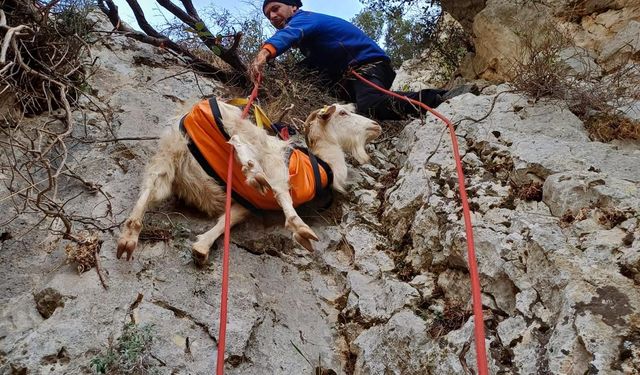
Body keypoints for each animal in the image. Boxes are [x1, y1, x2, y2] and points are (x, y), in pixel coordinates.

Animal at [116, 98, 380, 266]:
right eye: (343, 113)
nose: (375, 125)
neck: (322, 164)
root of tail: (192, 110)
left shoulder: (245, 203)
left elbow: (229, 218)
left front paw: (202, 247)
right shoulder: (278, 168)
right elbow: (281, 192)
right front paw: (300, 229)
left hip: (171, 153)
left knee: (151, 186)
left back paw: (129, 235)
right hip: (240, 127)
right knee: (237, 139)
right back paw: (253, 172)